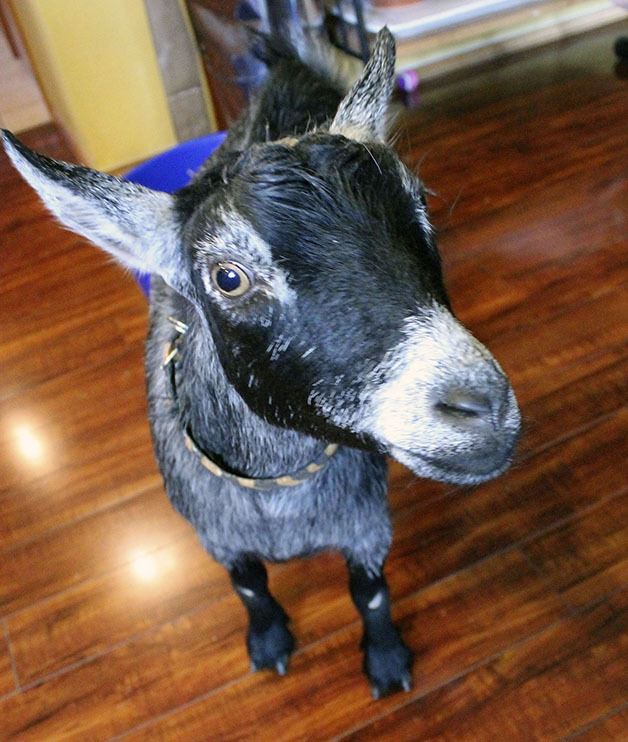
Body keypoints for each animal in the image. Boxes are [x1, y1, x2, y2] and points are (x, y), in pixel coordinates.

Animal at [1, 29, 520, 700]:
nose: (481, 407)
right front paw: (270, 642)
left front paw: (385, 660)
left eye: (421, 205)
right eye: (229, 277)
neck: (279, 490)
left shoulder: (366, 524)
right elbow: (250, 589)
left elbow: (371, 594)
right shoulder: (218, 537)